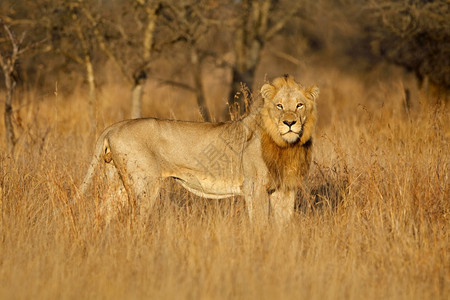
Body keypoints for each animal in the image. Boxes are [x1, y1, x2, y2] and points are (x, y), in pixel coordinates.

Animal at [80, 75, 320, 225]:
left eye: (299, 105)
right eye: (279, 106)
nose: (289, 123)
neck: (287, 145)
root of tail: (115, 125)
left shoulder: (285, 188)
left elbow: (282, 226)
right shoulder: (255, 187)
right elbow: (260, 224)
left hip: (118, 182)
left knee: (101, 212)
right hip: (143, 184)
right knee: (135, 219)